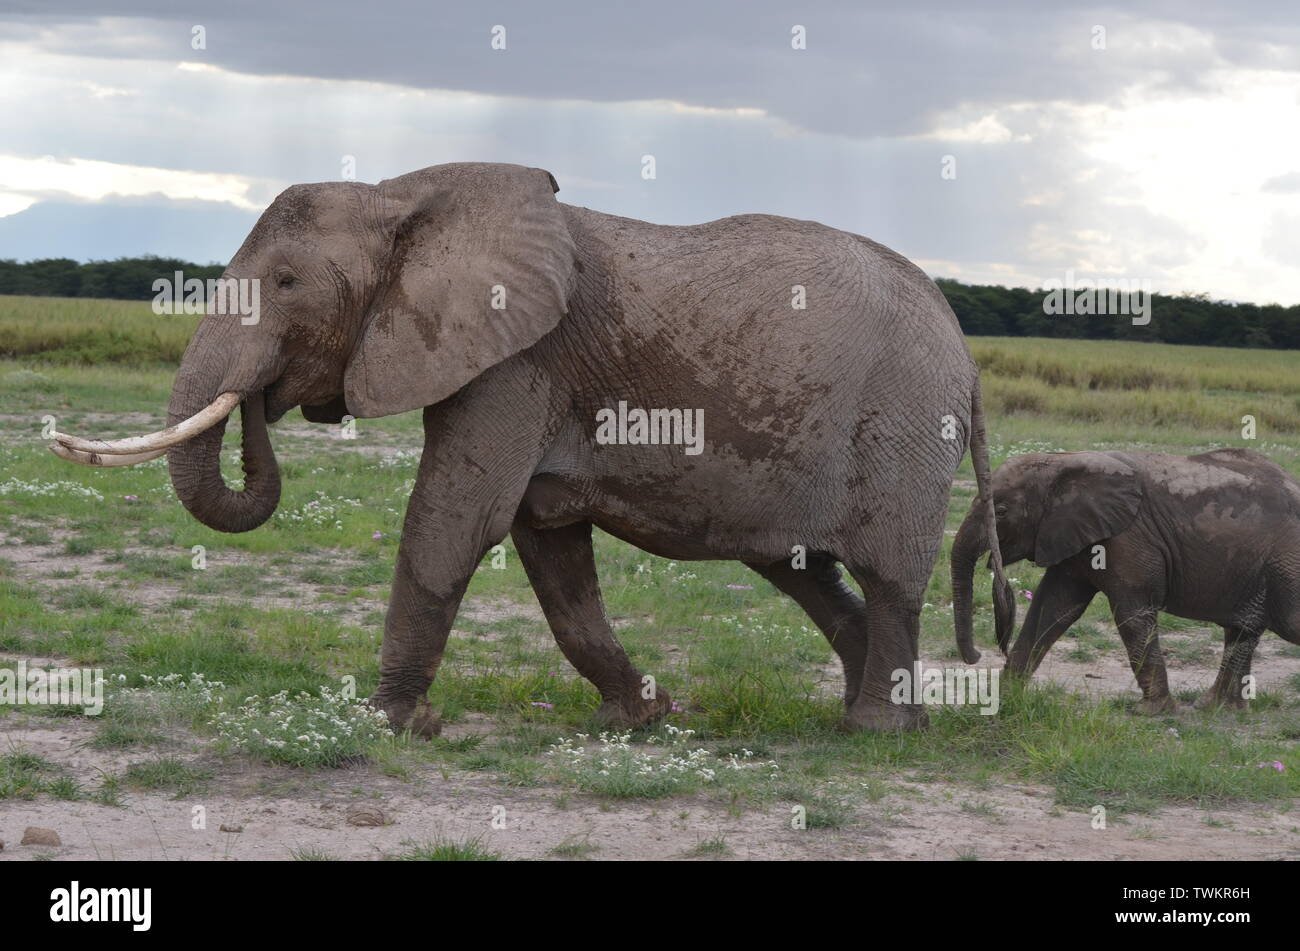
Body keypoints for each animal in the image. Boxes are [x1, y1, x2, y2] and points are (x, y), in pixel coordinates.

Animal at [50, 163, 1008, 737]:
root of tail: (967, 351)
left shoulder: (518, 362)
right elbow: (551, 557)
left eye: (286, 283)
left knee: (887, 576)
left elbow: (453, 521)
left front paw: (391, 724)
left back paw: (875, 733)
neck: (400, 193)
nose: (266, 397)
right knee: (808, 571)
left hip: (903, 424)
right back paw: (870, 712)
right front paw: (642, 719)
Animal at [946, 449, 1300, 711]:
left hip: (1286, 560)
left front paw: (1152, 712)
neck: (1062, 461)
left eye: (1002, 511)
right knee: (1242, 630)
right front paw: (1003, 698)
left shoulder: (1126, 538)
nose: (979, 656)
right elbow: (1052, 607)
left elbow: (1131, 614)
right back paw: (1215, 708)